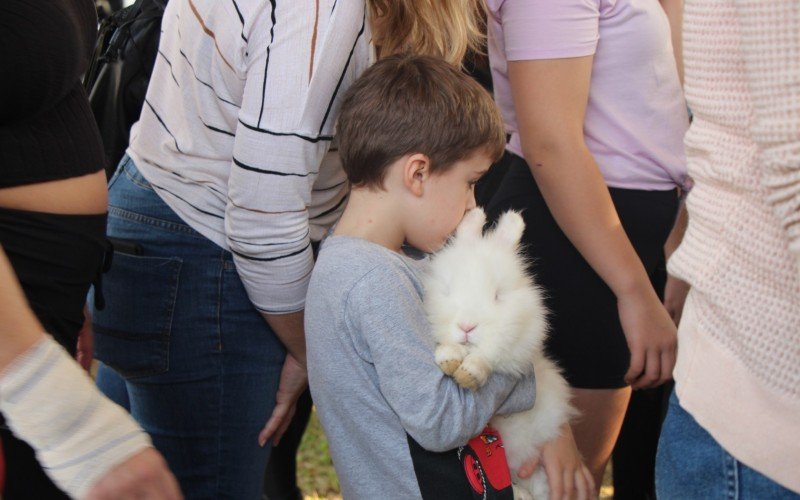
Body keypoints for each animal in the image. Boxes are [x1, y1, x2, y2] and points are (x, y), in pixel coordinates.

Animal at [424, 207, 576, 500]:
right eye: (447, 290)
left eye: (497, 296)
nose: (467, 326)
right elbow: (448, 346)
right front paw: (448, 359)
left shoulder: (515, 347)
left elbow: (489, 356)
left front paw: (469, 373)